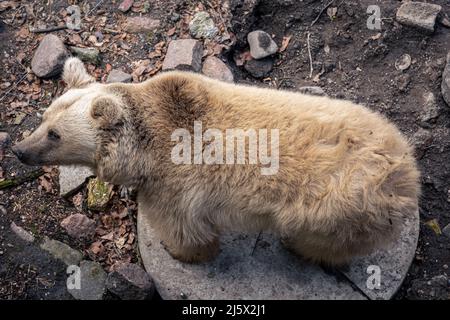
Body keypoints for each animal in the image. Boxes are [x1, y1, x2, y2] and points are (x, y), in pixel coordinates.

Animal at [14, 57, 422, 264]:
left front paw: (178, 251)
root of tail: (407, 174)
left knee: (323, 241)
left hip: (337, 210)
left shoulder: (176, 184)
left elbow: (184, 228)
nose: (19, 149)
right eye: (44, 118)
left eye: (55, 134)